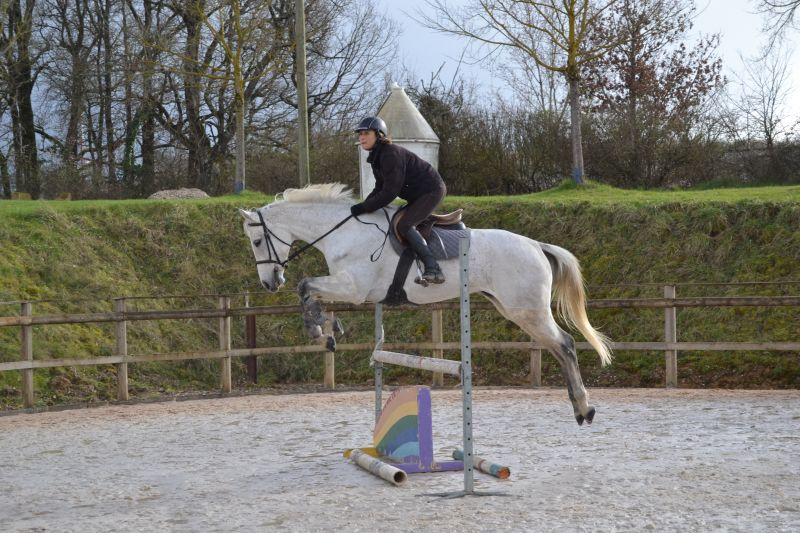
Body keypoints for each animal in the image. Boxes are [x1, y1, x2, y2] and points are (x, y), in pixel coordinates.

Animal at [239, 183, 612, 424]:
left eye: (257, 241)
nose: (270, 283)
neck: (342, 233)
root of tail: (536, 245)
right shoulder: (347, 286)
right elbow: (310, 292)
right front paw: (328, 330)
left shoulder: (354, 287)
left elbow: (306, 286)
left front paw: (318, 328)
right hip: (516, 309)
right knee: (556, 348)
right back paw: (579, 407)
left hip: (527, 310)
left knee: (565, 344)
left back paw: (584, 408)